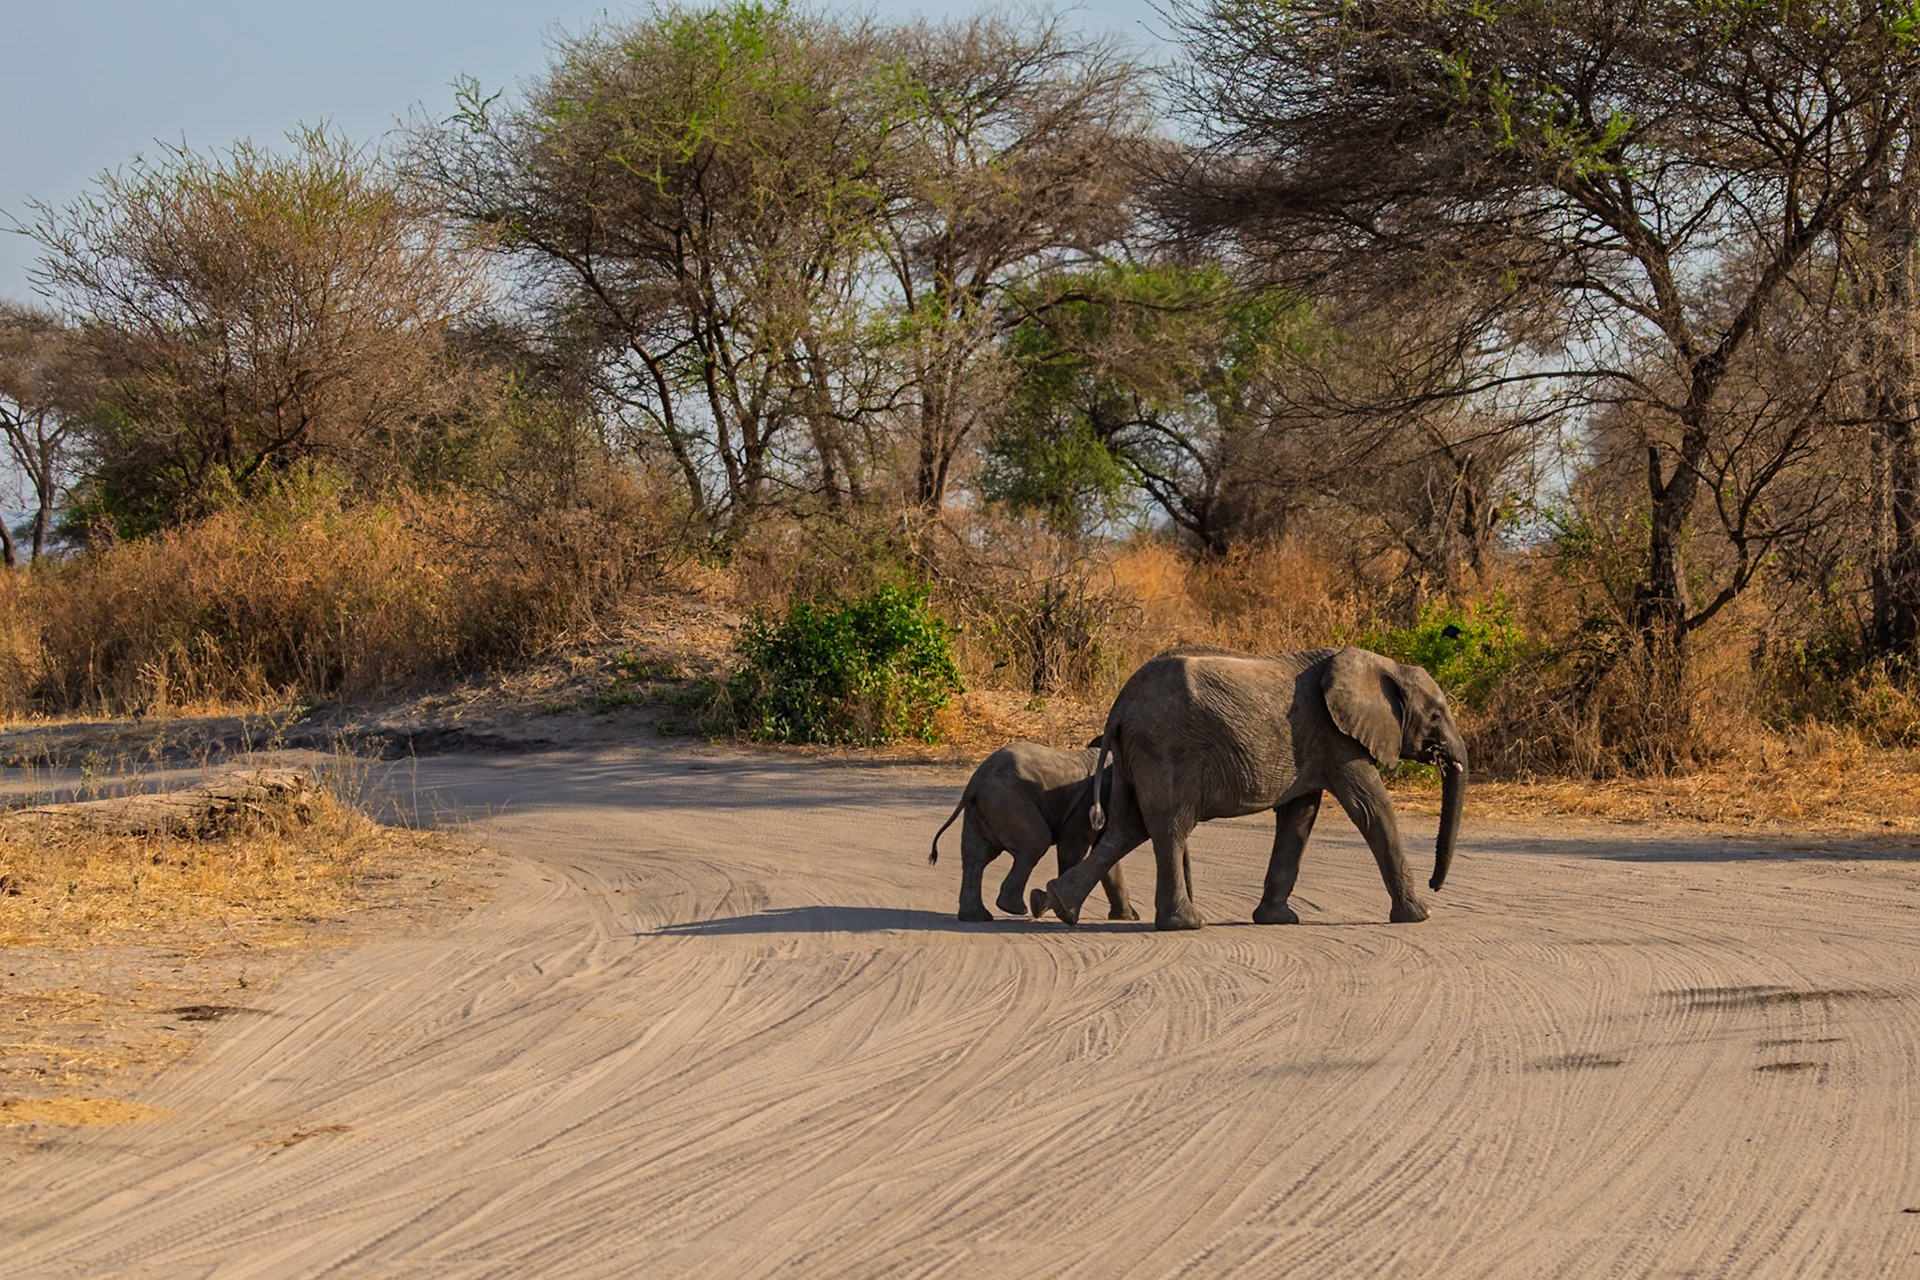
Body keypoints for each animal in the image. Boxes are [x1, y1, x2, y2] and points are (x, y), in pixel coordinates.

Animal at [930, 741, 1139, 923]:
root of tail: (976, 780)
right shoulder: (1089, 802)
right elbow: (1073, 846)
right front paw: (1049, 905)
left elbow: (1107, 858)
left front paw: (1127, 918)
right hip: (1010, 801)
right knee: (1035, 844)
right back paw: (1015, 909)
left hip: (984, 808)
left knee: (976, 856)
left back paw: (977, 917)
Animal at [1029, 645, 1468, 931]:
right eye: (1435, 716)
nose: (1436, 884)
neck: (1383, 665)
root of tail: (1119, 705)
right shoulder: (1337, 739)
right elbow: (1372, 809)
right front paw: (1419, 915)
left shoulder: (1313, 745)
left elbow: (1299, 817)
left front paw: (1277, 921)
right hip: (1164, 750)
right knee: (1168, 827)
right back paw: (1186, 924)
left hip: (1130, 756)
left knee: (1126, 829)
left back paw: (1055, 904)